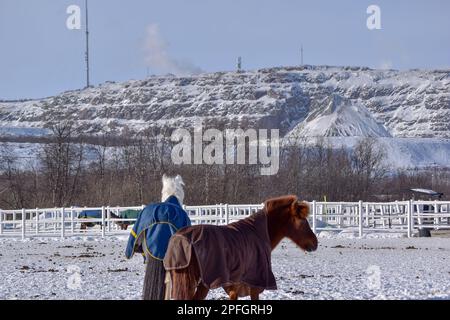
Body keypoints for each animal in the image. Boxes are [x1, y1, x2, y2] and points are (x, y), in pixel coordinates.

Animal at [164, 194, 316, 302]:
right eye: (303, 221)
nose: (315, 243)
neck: (259, 232)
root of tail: (182, 238)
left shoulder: (234, 287)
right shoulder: (254, 285)